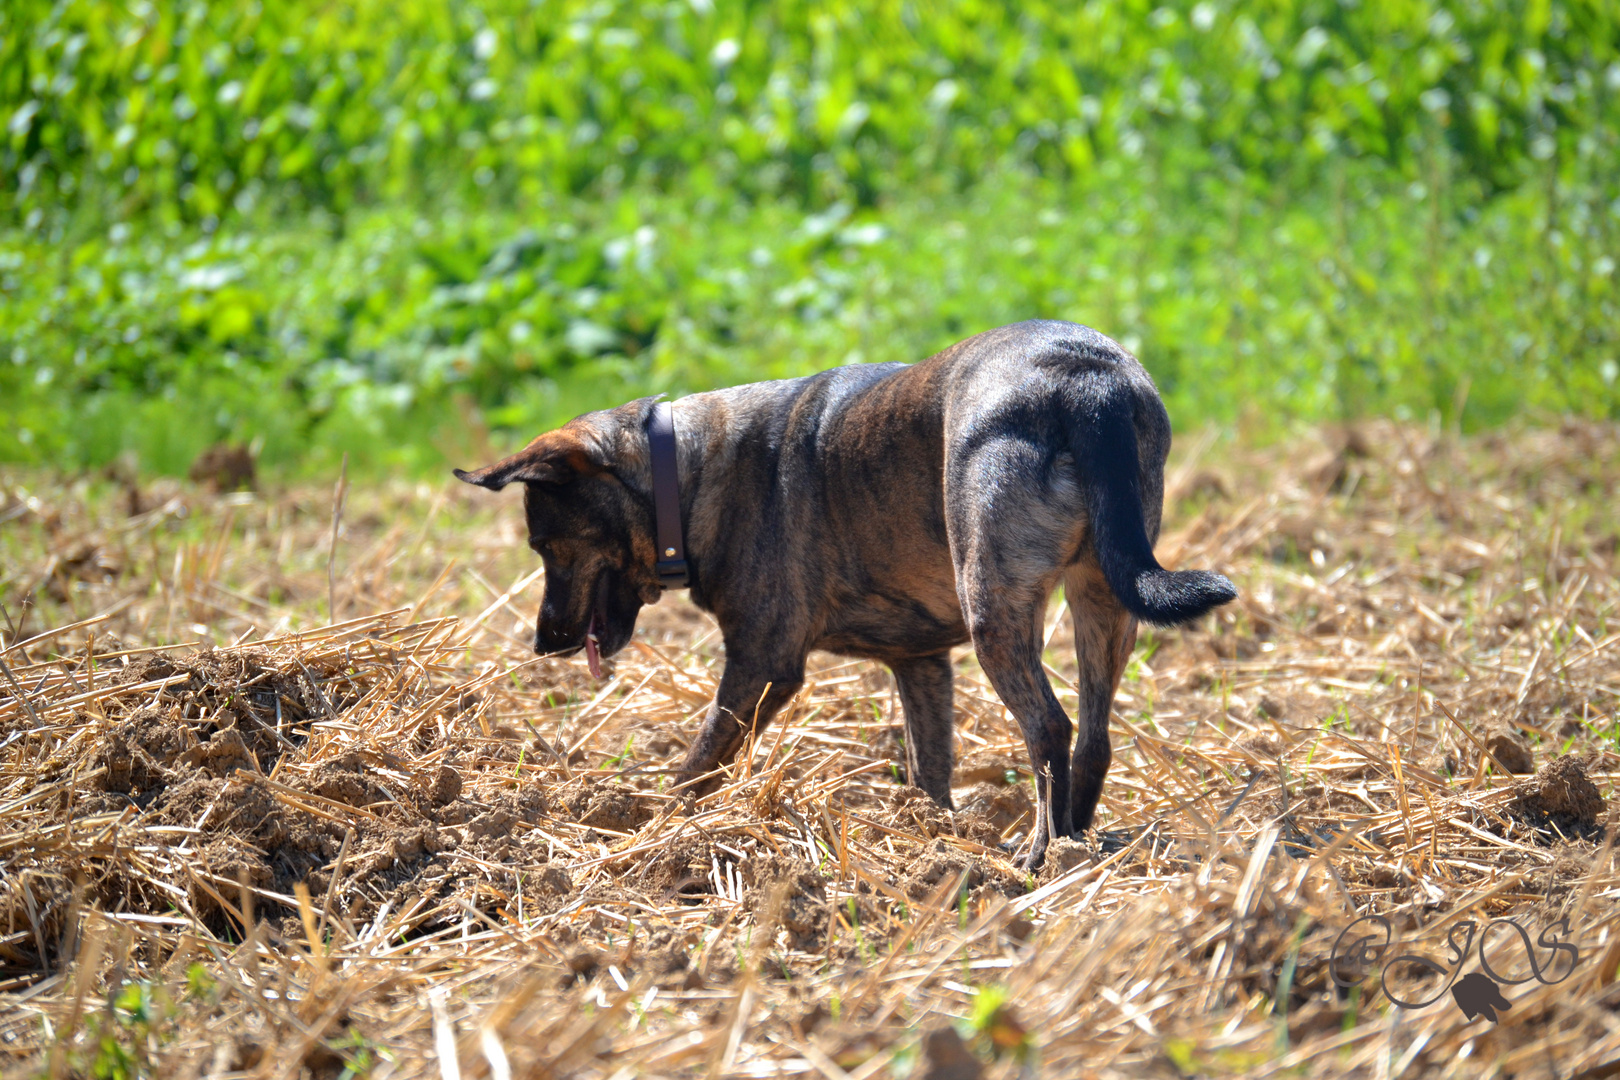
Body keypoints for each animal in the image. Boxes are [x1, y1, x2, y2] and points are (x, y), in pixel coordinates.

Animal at [456, 317, 1237, 867]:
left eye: (545, 545)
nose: (543, 643)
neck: (686, 468)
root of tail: (1084, 377)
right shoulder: (922, 665)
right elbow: (930, 767)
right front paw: (930, 837)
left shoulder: (762, 665)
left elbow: (700, 762)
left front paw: (652, 832)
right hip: (1103, 597)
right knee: (1095, 737)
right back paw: (1078, 843)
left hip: (996, 607)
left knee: (1050, 728)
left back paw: (1041, 854)